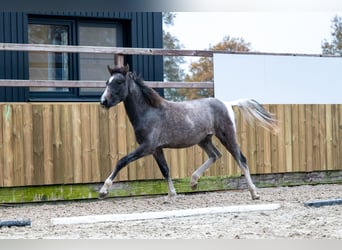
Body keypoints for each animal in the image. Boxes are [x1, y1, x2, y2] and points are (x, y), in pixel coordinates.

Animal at [99, 65, 278, 200]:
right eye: (107, 82)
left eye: (119, 82)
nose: (103, 101)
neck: (150, 112)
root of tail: (227, 103)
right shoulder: (156, 149)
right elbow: (165, 169)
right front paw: (172, 195)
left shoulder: (147, 147)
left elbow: (122, 161)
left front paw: (103, 191)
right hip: (204, 140)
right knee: (215, 155)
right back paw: (193, 182)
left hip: (227, 136)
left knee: (241, 159)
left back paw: (254, 193)